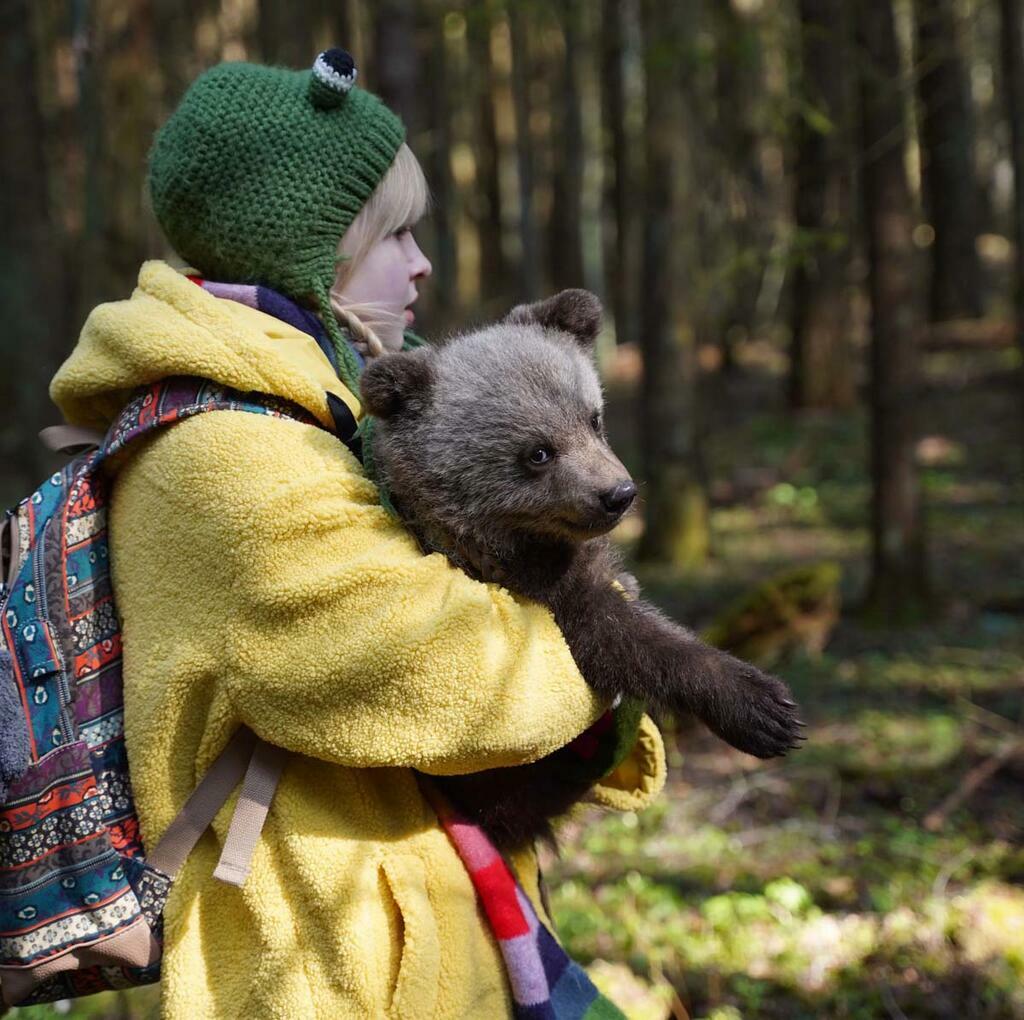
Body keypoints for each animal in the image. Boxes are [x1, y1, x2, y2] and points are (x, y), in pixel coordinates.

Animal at [359, 289, 803, 848]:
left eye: (593, 418)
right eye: (538, 452)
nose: (618, 493)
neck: (514, 542)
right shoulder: (540, 598)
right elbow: (622, 639)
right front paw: (762, 707)